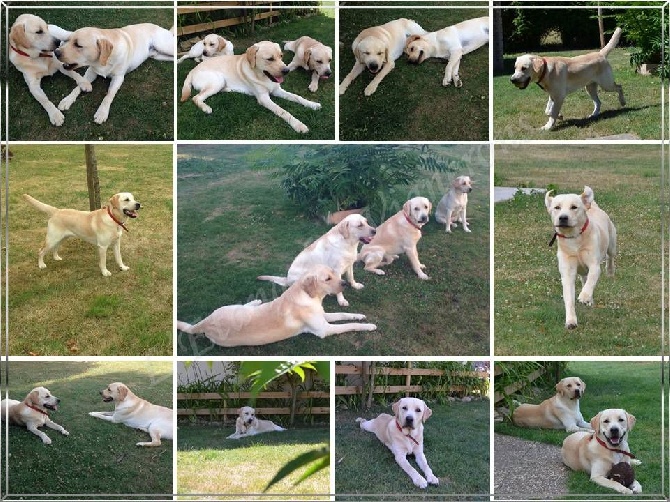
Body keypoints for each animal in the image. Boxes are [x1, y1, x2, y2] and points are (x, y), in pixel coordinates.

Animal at [178, 264, 378, 348]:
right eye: (327, 278)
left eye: (334, 274)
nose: (345, 284)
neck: (308, 296)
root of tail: (204, 323)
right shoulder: (324, 329)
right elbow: (349, 326)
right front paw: (368, 326)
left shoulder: (323, 316)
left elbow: (345, 315)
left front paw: (360, 315)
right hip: (229, 311)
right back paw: (257, 301)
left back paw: (257, 301)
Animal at [181, 40, 322, 133]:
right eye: (270, 59)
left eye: (281, 56)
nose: (287, 70)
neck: (263, 77)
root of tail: (192, 70)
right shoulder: (264, 98)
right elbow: (283, 111)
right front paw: (299, 125)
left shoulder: (277, 90)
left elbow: (297, 97)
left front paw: (312, 104)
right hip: (217, 80)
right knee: (196, 98)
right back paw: (206, 108)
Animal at [544, 186, 620, 328]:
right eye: (557, 207)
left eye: (574, 207)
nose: (563, 218)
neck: (574, 238)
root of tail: (592, 205)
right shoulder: (567, 270)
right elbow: (569, 296)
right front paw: (571, 321)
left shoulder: (594, 264)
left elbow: (591, 279)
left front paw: (584, 296)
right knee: (584, 277)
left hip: (612, 242)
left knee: (610, 257)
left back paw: (610, 272)